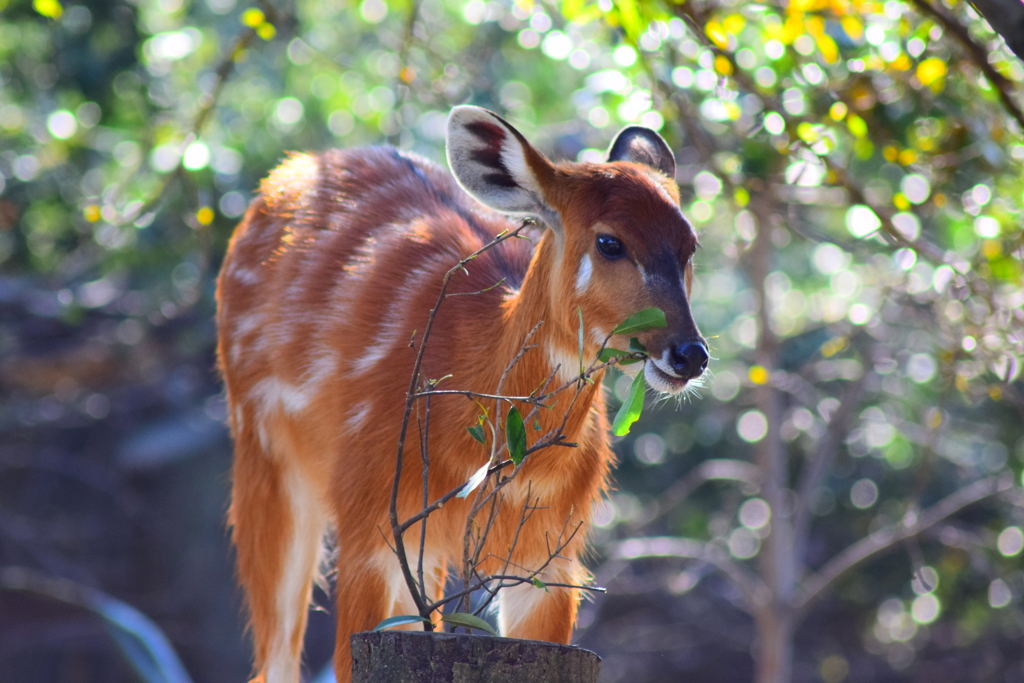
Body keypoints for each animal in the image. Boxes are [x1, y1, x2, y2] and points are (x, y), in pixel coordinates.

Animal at [214, 107, 712, 683]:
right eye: (609, 242)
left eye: (690, 246)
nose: (690, 354)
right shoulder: (370, 522)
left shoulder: (552, 553)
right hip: (264, 455)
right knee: (275, 654)